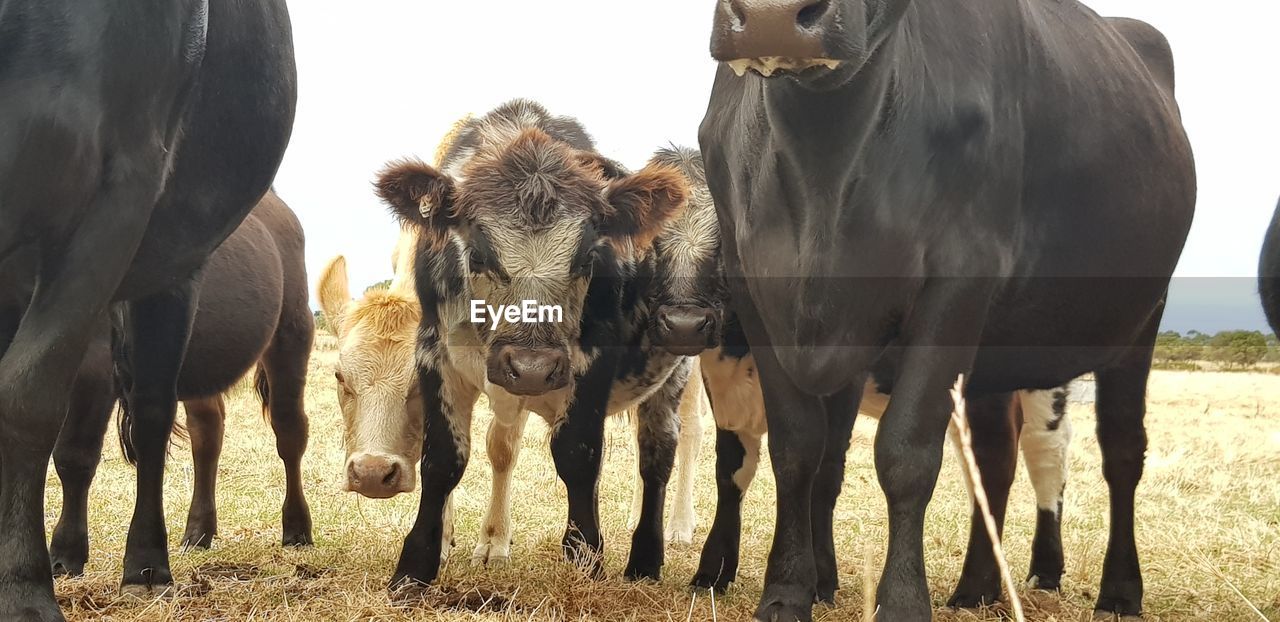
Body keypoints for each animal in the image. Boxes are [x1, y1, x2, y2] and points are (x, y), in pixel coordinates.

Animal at [0, 1, 294, 616]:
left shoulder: (117, 193)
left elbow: (30, 397)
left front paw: (24, 589)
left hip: (177, 266)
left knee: (156, 412)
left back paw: (148, 563)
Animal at [360, 101, 701, 588]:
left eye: (586, 257)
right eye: (478, 253)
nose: (532, 368)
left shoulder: (592, 361)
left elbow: (578, 454)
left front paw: (585, 556)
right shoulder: (434, 351)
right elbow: (442, 459)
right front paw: (415, 565)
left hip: (674, 375)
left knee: (658, 455)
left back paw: (646, 559)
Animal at [650, 147, 1080, 601]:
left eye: (723, 246)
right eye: (653, 243)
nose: (683, 325)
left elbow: (824, 472)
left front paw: (822, 578)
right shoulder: (725, 387)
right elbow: (732, 470)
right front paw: (713, 570)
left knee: (1029, 455)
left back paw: (1016, 579)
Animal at [696, 2, 1192, 619]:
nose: (771, 17)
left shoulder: (957, 285)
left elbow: (906, 454)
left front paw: (903, 601)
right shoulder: (757, 294)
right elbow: (797, 450)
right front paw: (787, 594)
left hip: (1138, 322)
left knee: (1121, 450)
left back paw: (1120, 591)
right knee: (996, 458)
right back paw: (976, 586)